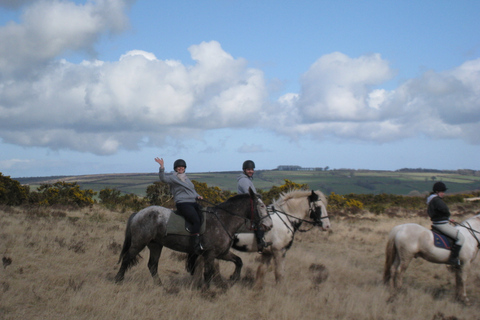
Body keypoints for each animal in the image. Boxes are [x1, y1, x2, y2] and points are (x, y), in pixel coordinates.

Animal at [112, 186, 270, 286]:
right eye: (261, 206)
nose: (268, 225)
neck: (223, 220)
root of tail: (138, 213)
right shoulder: (210, 254)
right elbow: (208, 273)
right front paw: (206, 291)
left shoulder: (222, 253)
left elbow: (239, 261)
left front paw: (234, 278)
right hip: (139, 243)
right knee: (127, 258)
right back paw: (118, 280)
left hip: (155, 245)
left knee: (152, 265)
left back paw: (160, 286)